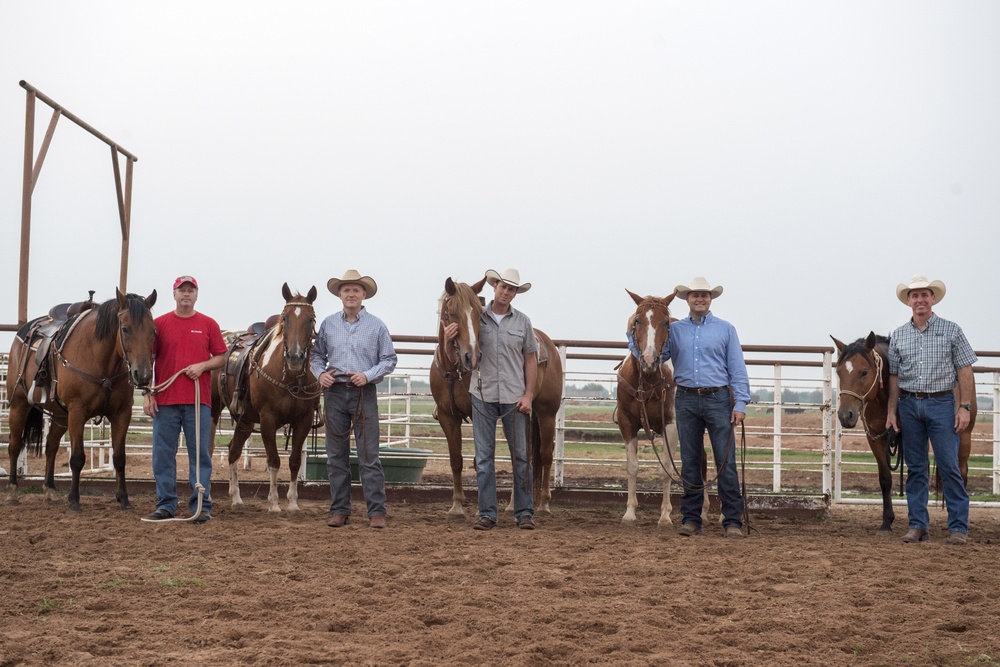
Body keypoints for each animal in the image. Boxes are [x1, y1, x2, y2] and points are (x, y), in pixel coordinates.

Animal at [4, 290, 156, 516]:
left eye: (153, 330)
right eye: (125, 329)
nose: (143, 375)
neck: (101, 359)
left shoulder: (122, 414)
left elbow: (119, 457)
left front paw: (123, 498)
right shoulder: (77, 412)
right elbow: (77, 458)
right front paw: (74, 500)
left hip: (59, 415)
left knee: (51, 447)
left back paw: (50, 490)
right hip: (18, 404)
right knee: (14, 445)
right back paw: (12, 491)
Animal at [212, 284, 318, 516]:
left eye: (311, 319)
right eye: (285, 318)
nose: (295, 357)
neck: (289, 377)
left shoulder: (304, 421)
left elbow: (294, 461)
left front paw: (293, 503)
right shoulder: (268, 420)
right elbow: (274, 461)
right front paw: (274, 504)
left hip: (245, 420)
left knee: (233, 450)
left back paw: (236, 498)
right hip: (213, 410)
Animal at [430, 276, 568, 516]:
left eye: (478, 314)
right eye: (452, 313)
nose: (472, 357)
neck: (454, 371)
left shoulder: (480, 413)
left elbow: (479, 459)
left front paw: (479, 509)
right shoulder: (448, 417)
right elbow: (456, 459)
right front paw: (457, 506)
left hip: (546, 412)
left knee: (544, 454)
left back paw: (542, 504)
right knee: (523, 455)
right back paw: (515, 504)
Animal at [828, 332, 976, 536]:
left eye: (864, 372)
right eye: (839, 372)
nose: (845, 415)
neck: (886, 399)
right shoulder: (876, 438)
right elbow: (885, 479)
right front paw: (886, 522)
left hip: (963, 437)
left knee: (960, 473)